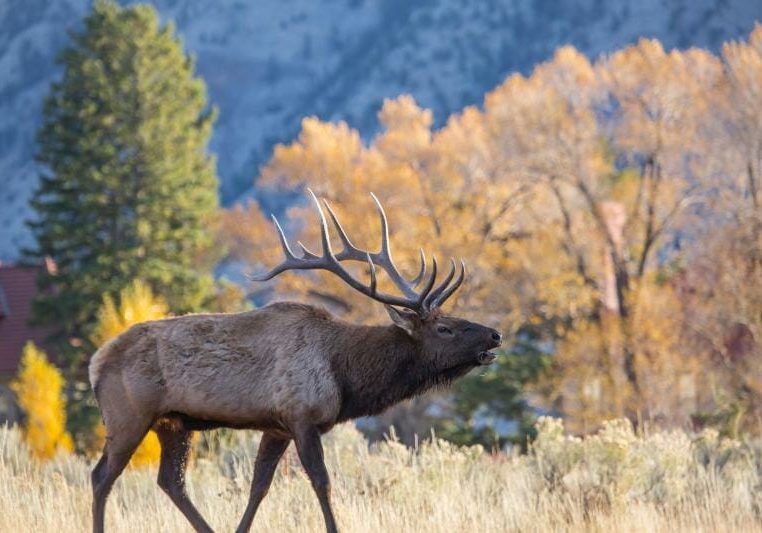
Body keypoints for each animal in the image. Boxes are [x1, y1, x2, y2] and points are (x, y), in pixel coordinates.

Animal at [89, 190, 503, 533]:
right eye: (445, 328)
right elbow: (322, 483)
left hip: (173, 422)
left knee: (171, 481)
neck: (345, 375)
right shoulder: (302, 416)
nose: (495, 334)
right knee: (101, 476)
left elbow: (259, 486)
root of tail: (95, 362)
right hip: (128, 415)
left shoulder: (277, 427)